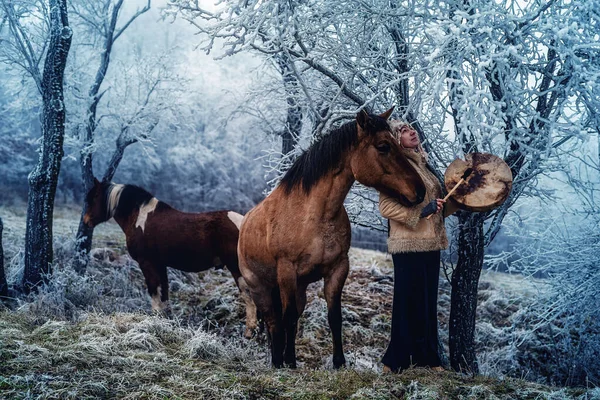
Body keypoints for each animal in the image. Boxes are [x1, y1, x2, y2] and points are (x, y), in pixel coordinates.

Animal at [83, 180, 256, 340]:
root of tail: (244, 223)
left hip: (236, 267)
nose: (86, 221)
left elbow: (154, 291)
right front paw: (167, 321)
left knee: (249, 295)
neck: (140, 217)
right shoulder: (160, 264)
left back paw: (250, 331)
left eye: (94, 197)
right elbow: (164, 293)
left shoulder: (147, 263)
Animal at [239, 107, 426, 368]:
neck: (315, 215)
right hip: (260, 287)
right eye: (383, 146)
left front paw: (339, 362)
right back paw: (277, 361)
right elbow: (288, 319)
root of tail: (244, 222)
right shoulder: (286, 271)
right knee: (273, 321)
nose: (420, 191)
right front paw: (290, 363)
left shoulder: (338, 268)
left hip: (298, 287)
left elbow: (334, 316)